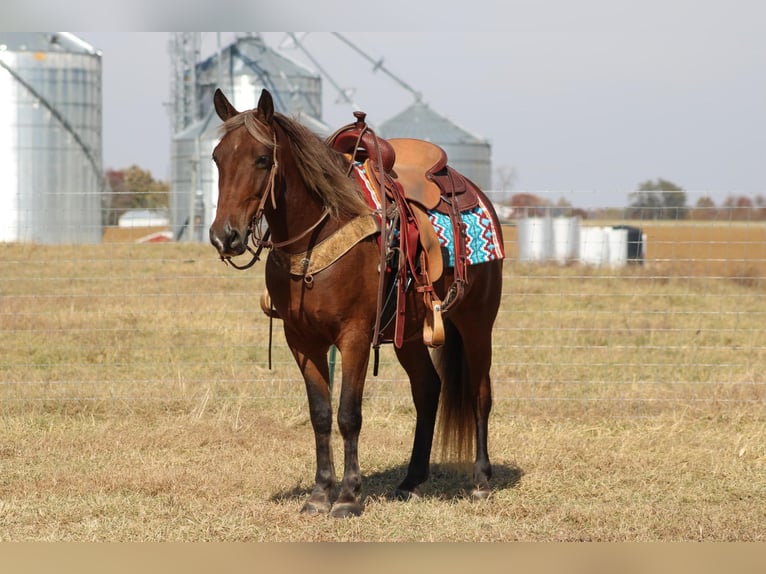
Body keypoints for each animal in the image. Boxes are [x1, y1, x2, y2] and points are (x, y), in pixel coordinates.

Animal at [210, 88, 508, 520]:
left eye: (262, 158)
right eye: (217, 157)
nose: (225, 236)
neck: (316, 236)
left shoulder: (353, 336)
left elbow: (348, 414)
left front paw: (348, 496)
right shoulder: (301, 340)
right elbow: (320, 415)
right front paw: (320, 493)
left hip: (477, 324)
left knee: (480, 393)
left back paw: (481, 481)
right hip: (410, 335)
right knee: (427, 390)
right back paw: (411, 481)